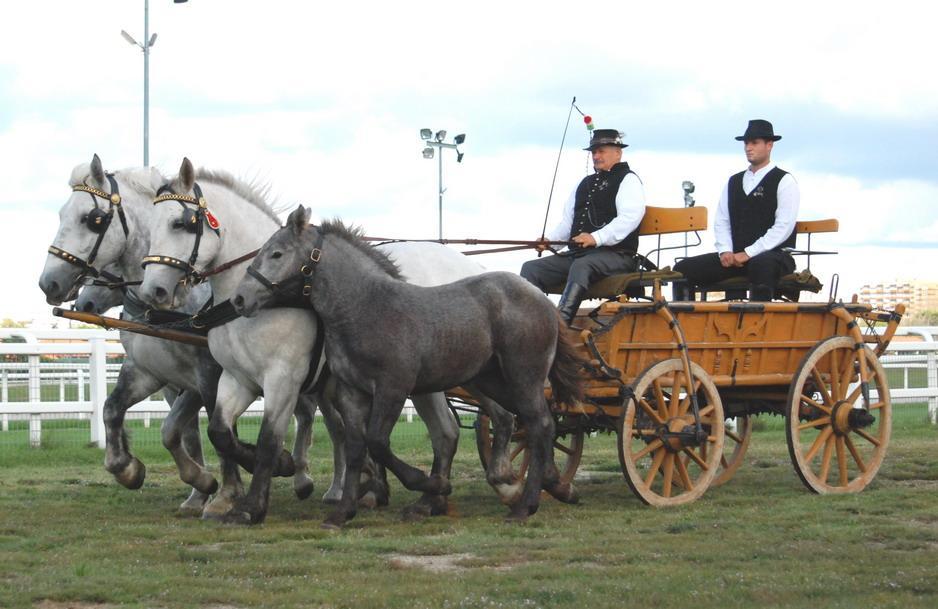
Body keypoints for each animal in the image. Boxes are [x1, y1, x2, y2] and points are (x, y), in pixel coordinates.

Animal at [139, 157, 516, 524]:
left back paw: (500, 476)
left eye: (180, 224)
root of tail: (474, 268)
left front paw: (253, 504)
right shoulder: (237, 379)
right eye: (149, 227)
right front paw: (281, 468)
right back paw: (432, 497)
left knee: (489, 419)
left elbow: (268, 440)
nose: (153, 291)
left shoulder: (283, 380)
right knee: (449, 432)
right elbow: (220, 432)